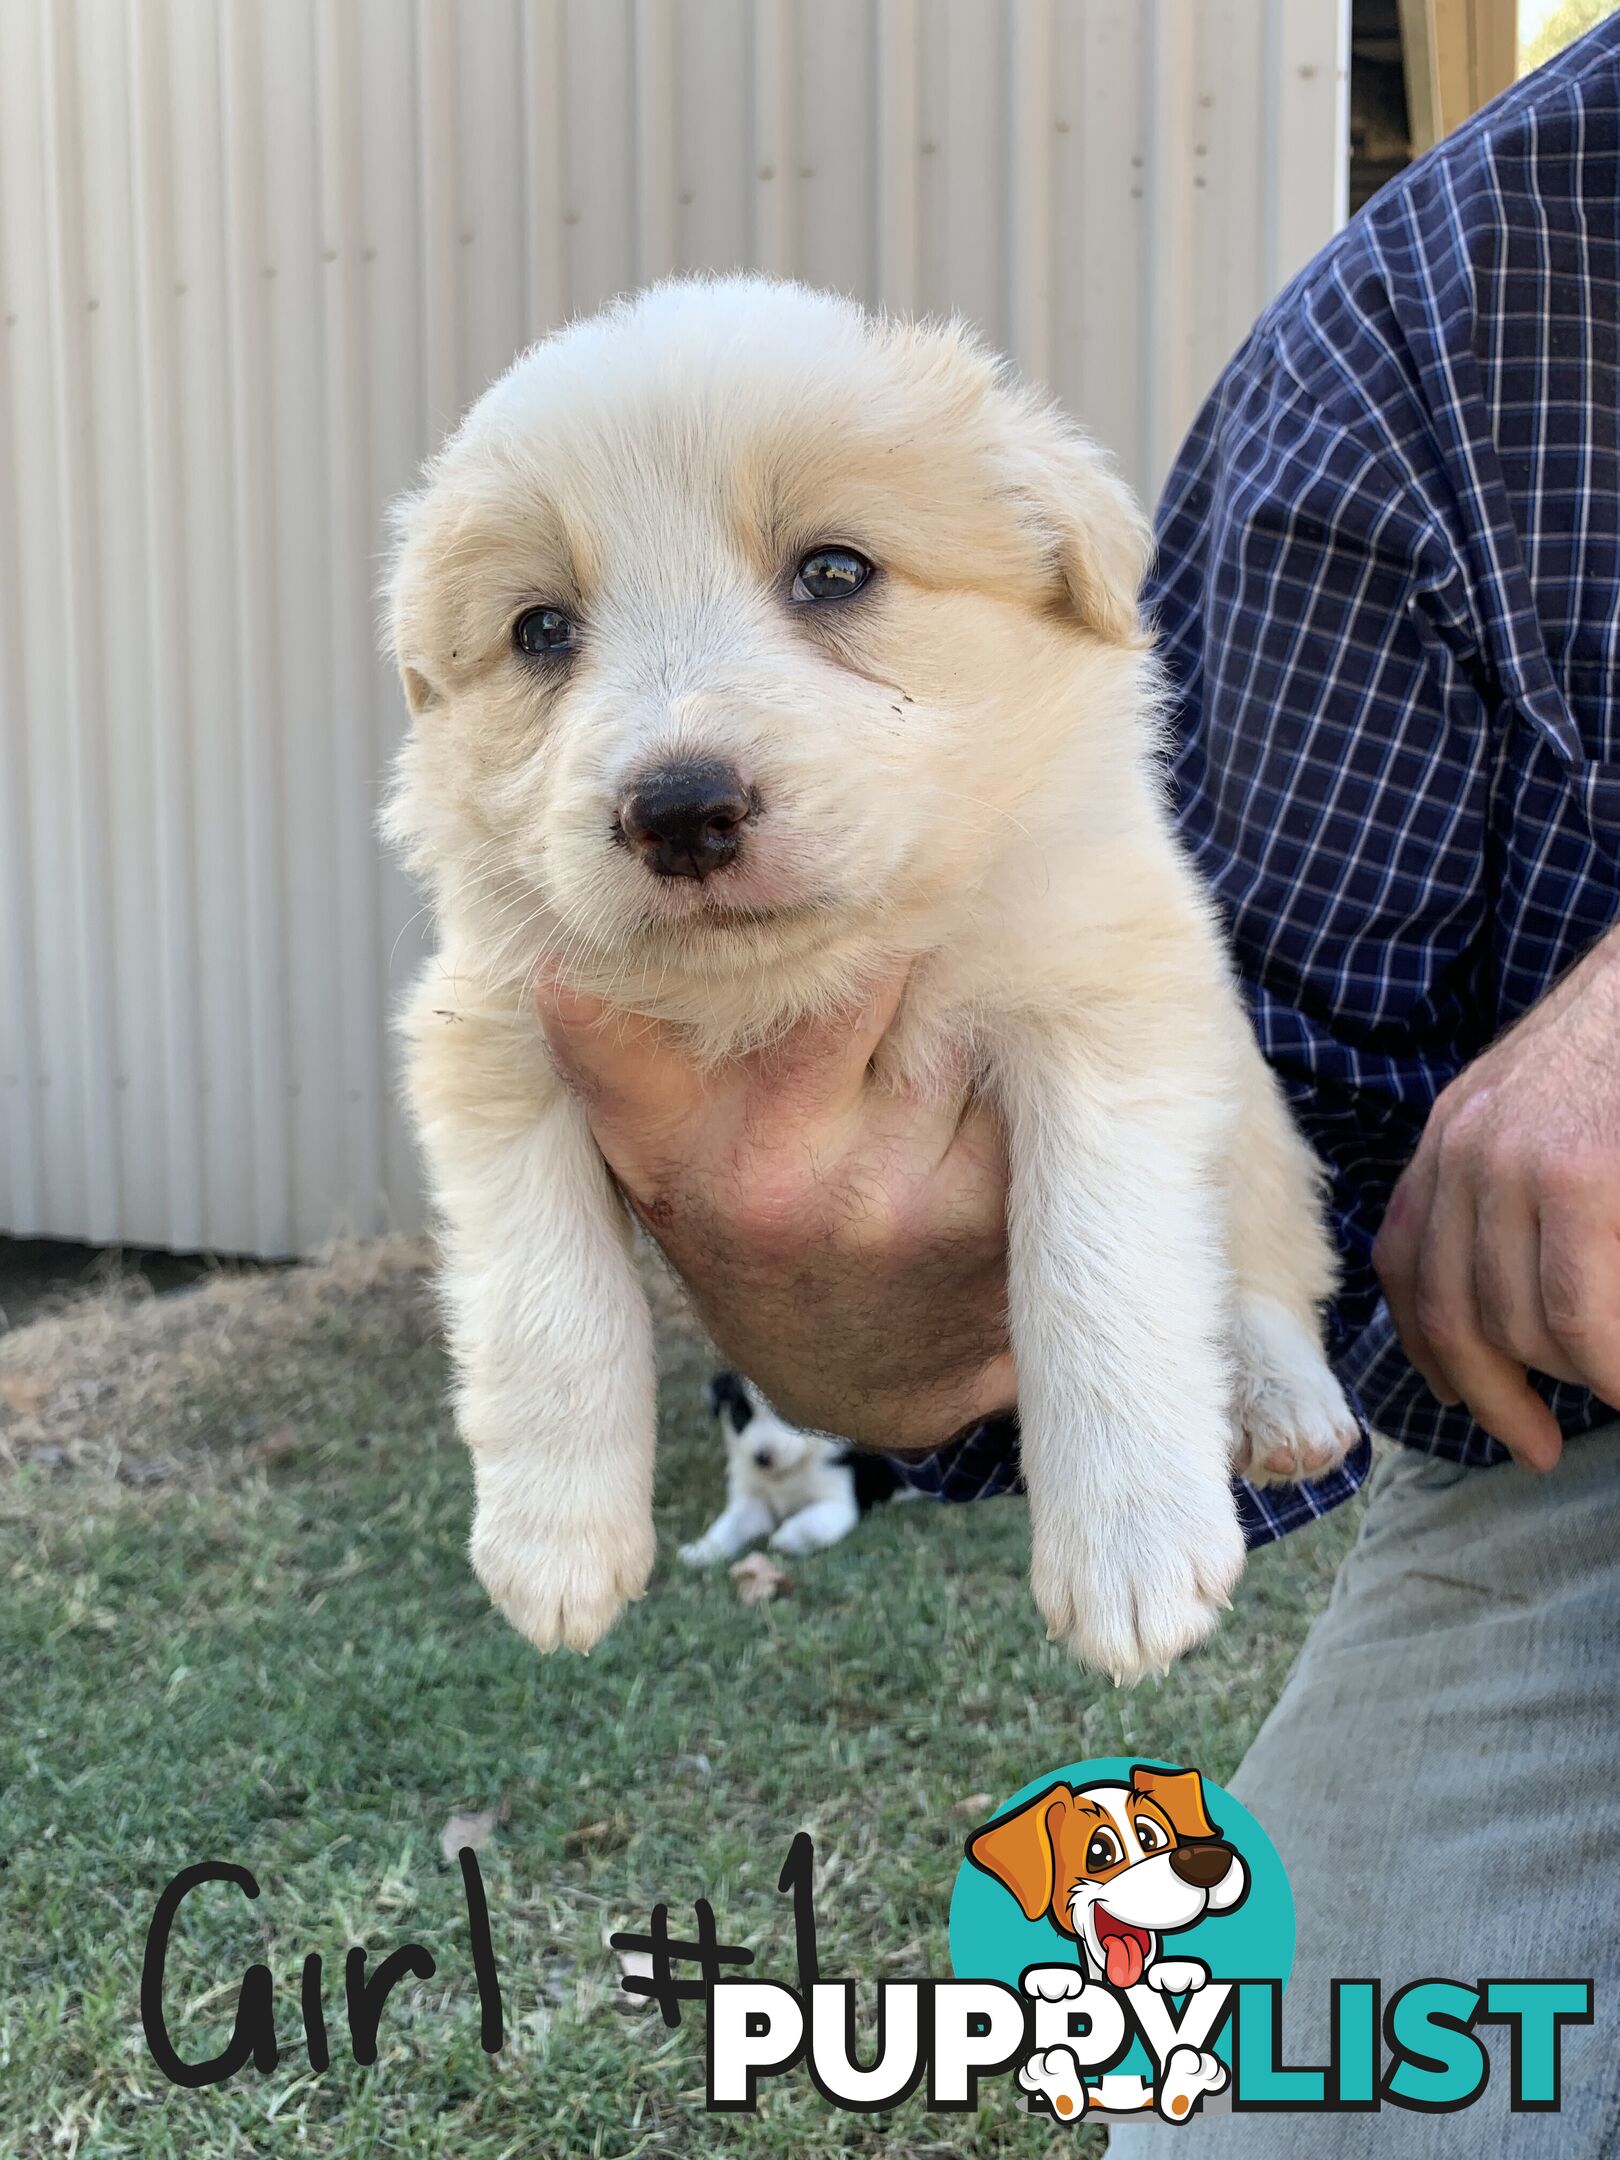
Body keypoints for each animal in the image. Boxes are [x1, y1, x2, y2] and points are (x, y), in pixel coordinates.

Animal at [678, 1373, 907, 1563]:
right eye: (740, 1417)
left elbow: (813, 1524)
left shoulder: (838, 1500)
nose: (761, 1458)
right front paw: (703, 1551)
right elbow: (730, 1525)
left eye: (789, 1416)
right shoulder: (752, 1497)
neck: (788, 1471)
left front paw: (788, 1538)